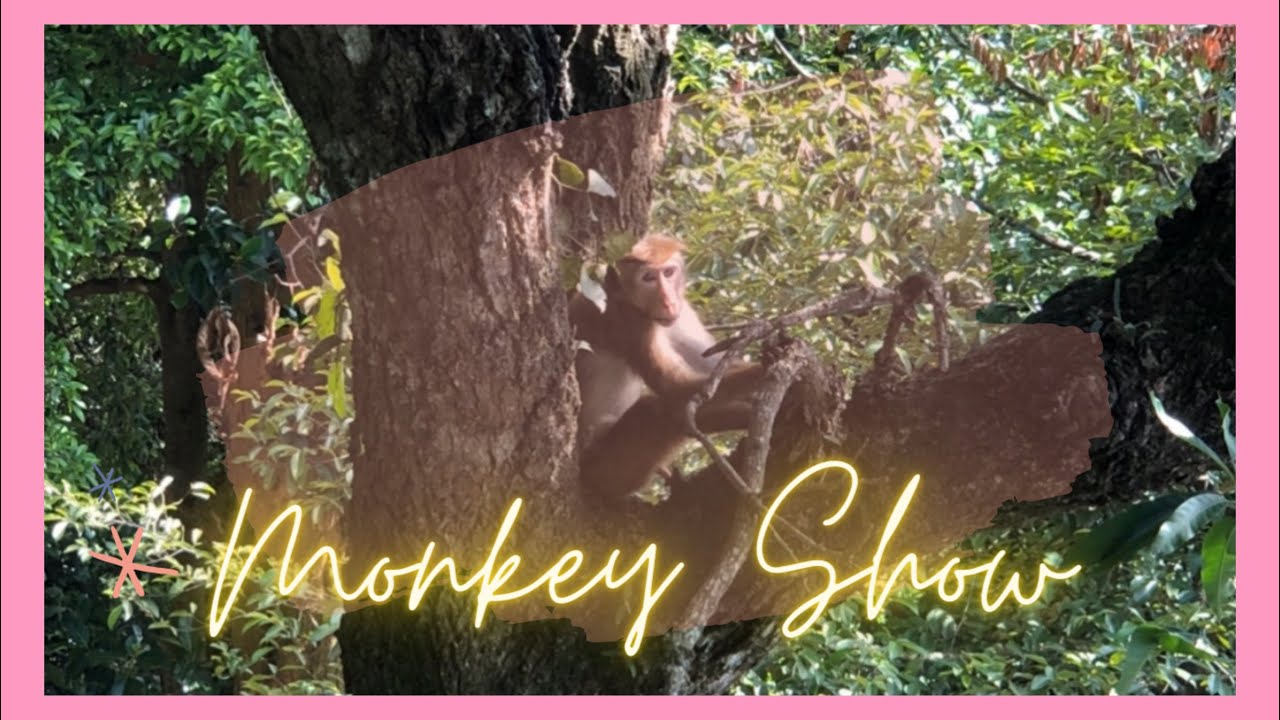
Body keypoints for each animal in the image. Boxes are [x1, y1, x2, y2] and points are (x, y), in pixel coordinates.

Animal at [570, 234, 763, 501]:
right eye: (648, 278)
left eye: (669, 272)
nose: (668, 301)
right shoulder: (630, 323)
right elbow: (674, 387)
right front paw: (776, 367)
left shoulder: (681, 313)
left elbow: (712, 365)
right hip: (605, 470)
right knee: (658, 410)